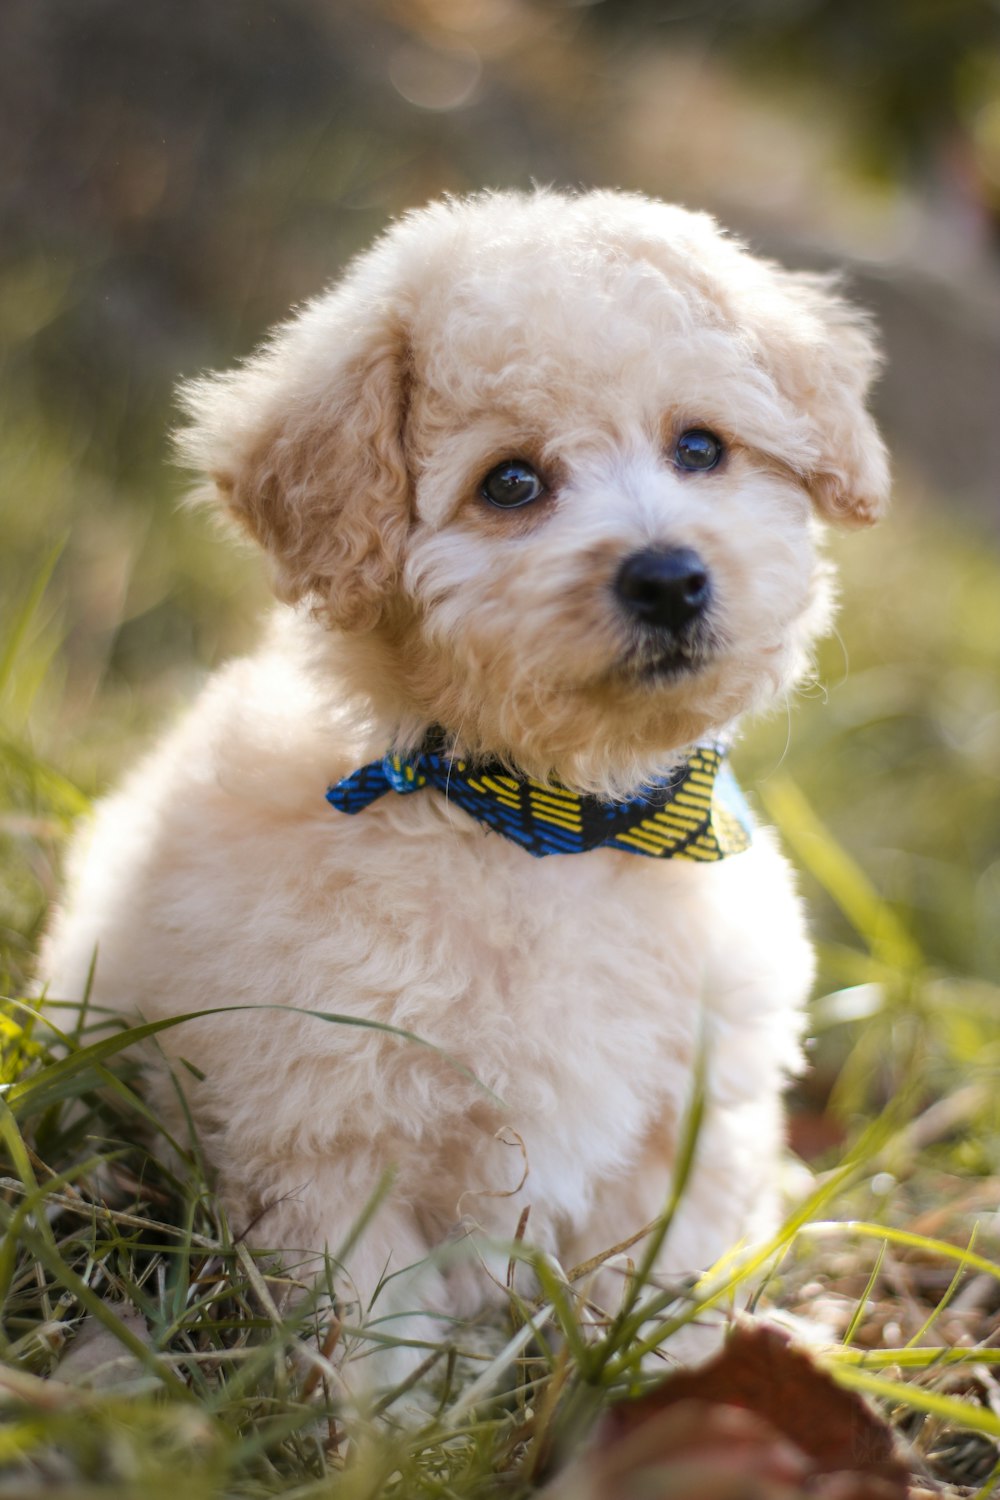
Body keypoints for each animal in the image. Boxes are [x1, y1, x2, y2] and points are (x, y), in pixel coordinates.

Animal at [39, 187, 887, 1380]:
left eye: (700, 447)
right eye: (512, 483)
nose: (670, 578)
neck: (549, 821)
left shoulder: (686, 1125)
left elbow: (653, 1284)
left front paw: (657, 1385)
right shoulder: (327, 1135)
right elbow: (377, 1332)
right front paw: (382, 1423)